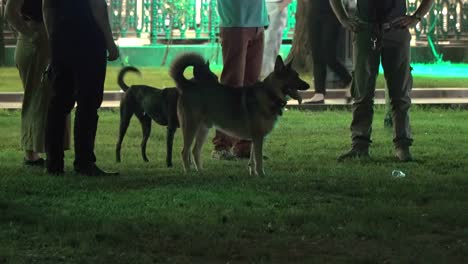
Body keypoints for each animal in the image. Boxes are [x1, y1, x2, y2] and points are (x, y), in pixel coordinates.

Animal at [170, 53, 308, 175]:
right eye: (295, 77)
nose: (308, 85)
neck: (270, 93)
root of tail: (188, 85)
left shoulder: (256, 139)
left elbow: (253, 160)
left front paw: (254, 174)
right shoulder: (258, 138)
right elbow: (258, 161)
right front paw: (261, 175)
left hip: (203, 130)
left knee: (195, 151)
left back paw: (201, 172)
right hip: (190, 128)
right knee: (185, 152)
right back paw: (189, 173)